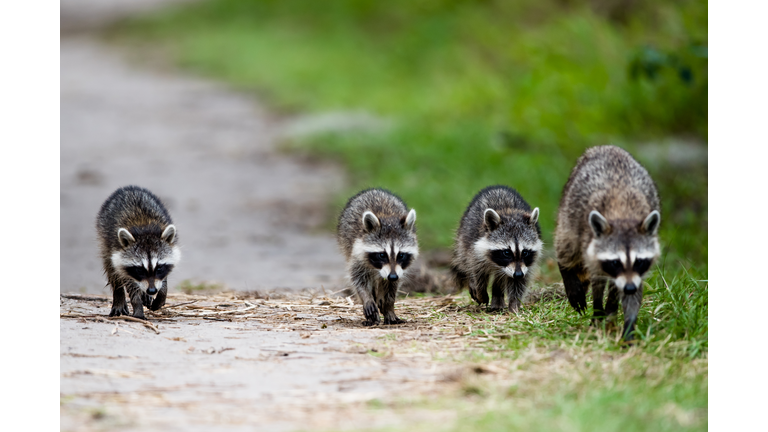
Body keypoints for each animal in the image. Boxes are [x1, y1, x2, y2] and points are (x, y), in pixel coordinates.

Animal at [95, 186, 179, 320]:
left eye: (159, 268)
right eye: (139, 269)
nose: (152, 290)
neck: (144, 229)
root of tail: (128, 188)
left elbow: (163, 281)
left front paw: (161, 294)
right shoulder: (117, 250)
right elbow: (129, 282)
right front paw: (137, 306)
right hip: (105, 239)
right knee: (112, 269)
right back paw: (119, 296)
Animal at [338, 187, 420, 326]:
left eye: (401, 255)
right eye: (382, 255)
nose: (392, 276)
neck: (388, 218)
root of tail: (374, 190)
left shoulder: (399, 270)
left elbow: (392, 287)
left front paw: (388, 307)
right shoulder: (357, 255)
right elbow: (358, 279)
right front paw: (367, 298)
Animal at [452, 184, 544, 312]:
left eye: (525, 252)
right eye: (507, 252)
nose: (518, 274)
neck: (509, 212)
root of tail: (498, 187)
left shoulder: (525, 265)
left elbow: (519, 283)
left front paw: (514, 304)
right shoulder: (474, 249)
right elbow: (477, 273)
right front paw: (480, 292)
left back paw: (497, 299)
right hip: (463, 236)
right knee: (465, 262)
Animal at [556, 145, 664, 340]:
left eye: (639, 261)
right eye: (615, 262)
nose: (629, 287)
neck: (623, 214)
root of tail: (607, 147)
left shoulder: (637, 272)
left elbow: (630, 293)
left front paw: (627, 324)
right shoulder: (591, 241)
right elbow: (598, 280)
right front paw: (598, 311)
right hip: (569, 211)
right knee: (567, 246)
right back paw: (567, 270)